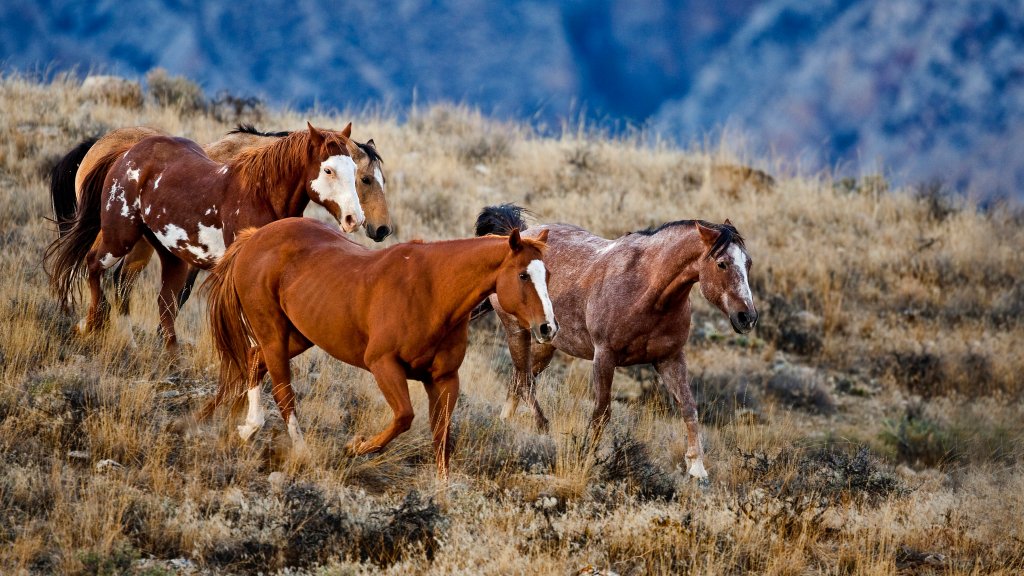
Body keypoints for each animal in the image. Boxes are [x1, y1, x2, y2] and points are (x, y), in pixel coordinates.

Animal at [45, 123, 365, 352]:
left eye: (354, 170)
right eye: (328, 169)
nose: (355, 219)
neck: (259, 195)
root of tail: (125, 153)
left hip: (170, 254)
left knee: (161, 301)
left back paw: (169, 352)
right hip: (119, 235)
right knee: (94, 265)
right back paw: (91, 324)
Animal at [202, 217, 557, 478]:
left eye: (548, 274)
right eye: (523, 275)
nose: (548, 328)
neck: (433, 292)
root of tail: (255, 237)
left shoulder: (444, 380)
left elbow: (441, 439)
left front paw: (442, 491)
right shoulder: (383, 365)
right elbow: (404, 417)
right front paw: (355, 447)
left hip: (299, 335)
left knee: (254, 360)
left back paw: (246, 427)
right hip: (273, 333)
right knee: (282, 391)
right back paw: (300, 450)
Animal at [473, 204, 758, 480]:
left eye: (748, 263)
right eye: (722, 264)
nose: (747, 317)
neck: (647, 290)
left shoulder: (670, 358)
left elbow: (688, 407)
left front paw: (697, 469)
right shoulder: (604, 356)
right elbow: (602, 412)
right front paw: (586, 457)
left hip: (546, 344)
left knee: (518, 379)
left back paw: (505, 423)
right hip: (517, 331)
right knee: (525, 382)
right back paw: (542, 426)